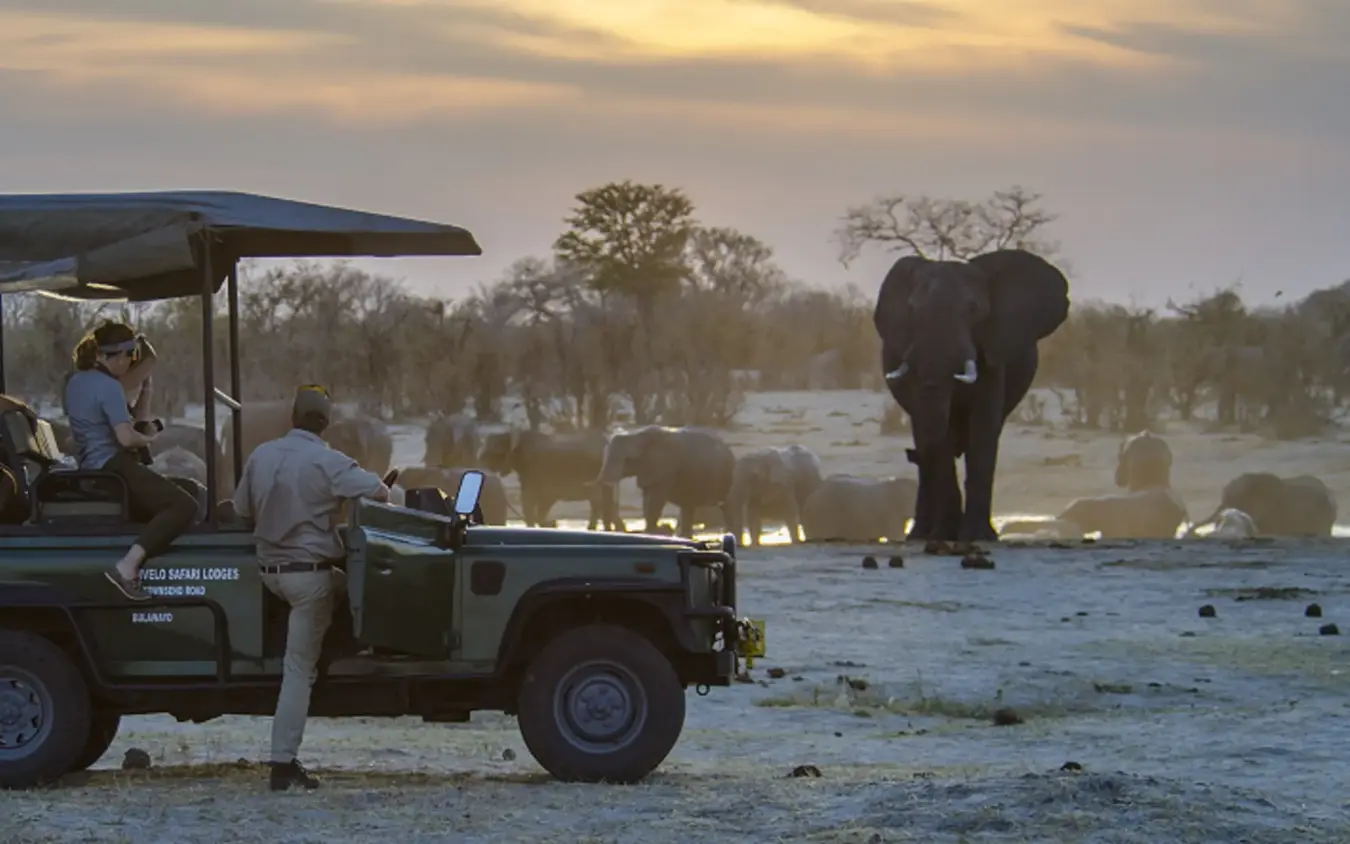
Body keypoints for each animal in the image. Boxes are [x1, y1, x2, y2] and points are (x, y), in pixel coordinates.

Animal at [480, 429, 622, 530]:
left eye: (497, 452)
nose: (481, 460)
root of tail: (606, 442)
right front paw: (549, 524)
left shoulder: (536, 471)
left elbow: (537, 499)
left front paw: (549, 524)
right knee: (608, 501)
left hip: (592, 470)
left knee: (597, 502)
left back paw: (591, 528)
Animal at [594, 425, 735, 537]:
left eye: (626, 459)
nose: (614, 530)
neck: (637, 436)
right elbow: (647, 499)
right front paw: (654, 531)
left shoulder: (663, 467)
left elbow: (655, 499)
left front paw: (653, 532)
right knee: (688, 505)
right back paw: (685, 537)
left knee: (727, 505)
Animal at [874, 249, 1070, 541]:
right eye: (912, 310)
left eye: (973, 309)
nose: (909, 453)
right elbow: (938, 430)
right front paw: (946, 535)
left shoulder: (993, 351)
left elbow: (983, 426)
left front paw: (978, 536)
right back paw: (921, 536)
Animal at [1055, 488, 1188, 539]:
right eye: (1067, 510)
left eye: (1071, 512)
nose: (1058, 517)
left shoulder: (1115, 520)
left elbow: (1118, 533)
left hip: (1165, 517)